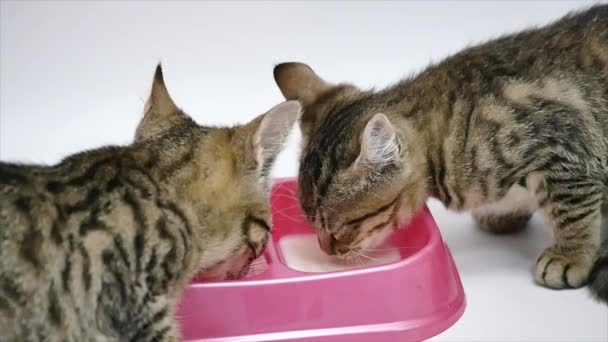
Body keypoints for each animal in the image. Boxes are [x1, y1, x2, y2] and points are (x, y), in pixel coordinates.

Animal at [274, 4, 608, 304]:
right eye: (314, 226)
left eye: (341, 228)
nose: (324, 249)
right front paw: (504, 214)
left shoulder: (563, 145)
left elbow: (572, 210)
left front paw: (570, 255)